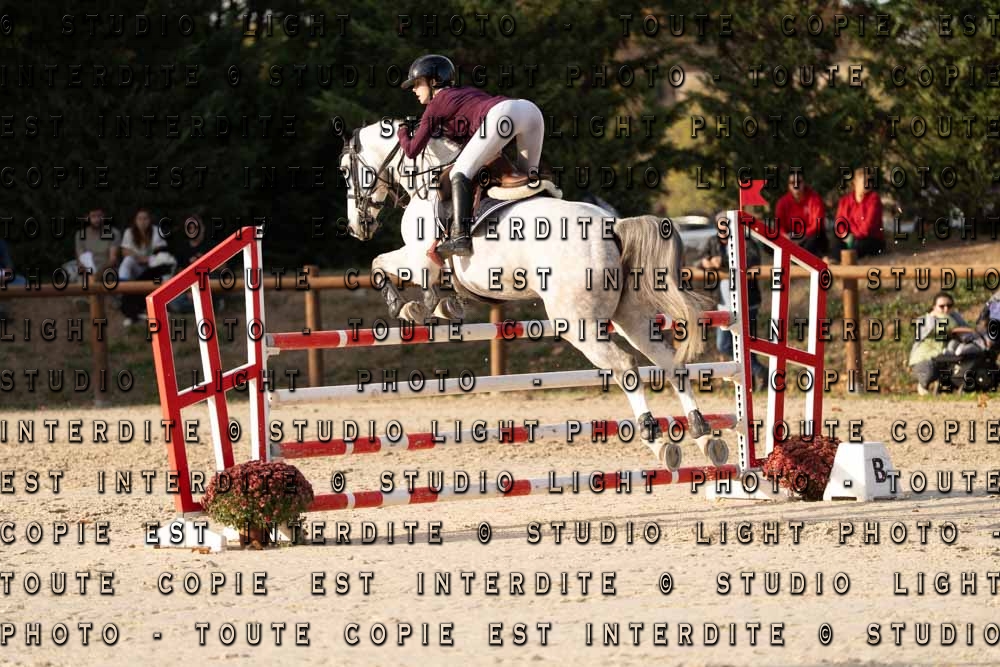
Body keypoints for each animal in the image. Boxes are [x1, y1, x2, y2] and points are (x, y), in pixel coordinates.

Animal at [338, 118, 728, 468]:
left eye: (344, 171)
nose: (358, 227)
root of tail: (613, 226)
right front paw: (446, 306)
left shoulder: (420, 257)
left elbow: (380, 265)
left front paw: (411, 308)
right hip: (629, 315)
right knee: (668, 360)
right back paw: (704, 435)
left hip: (577, 322)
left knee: (624, 365)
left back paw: (658, 440)